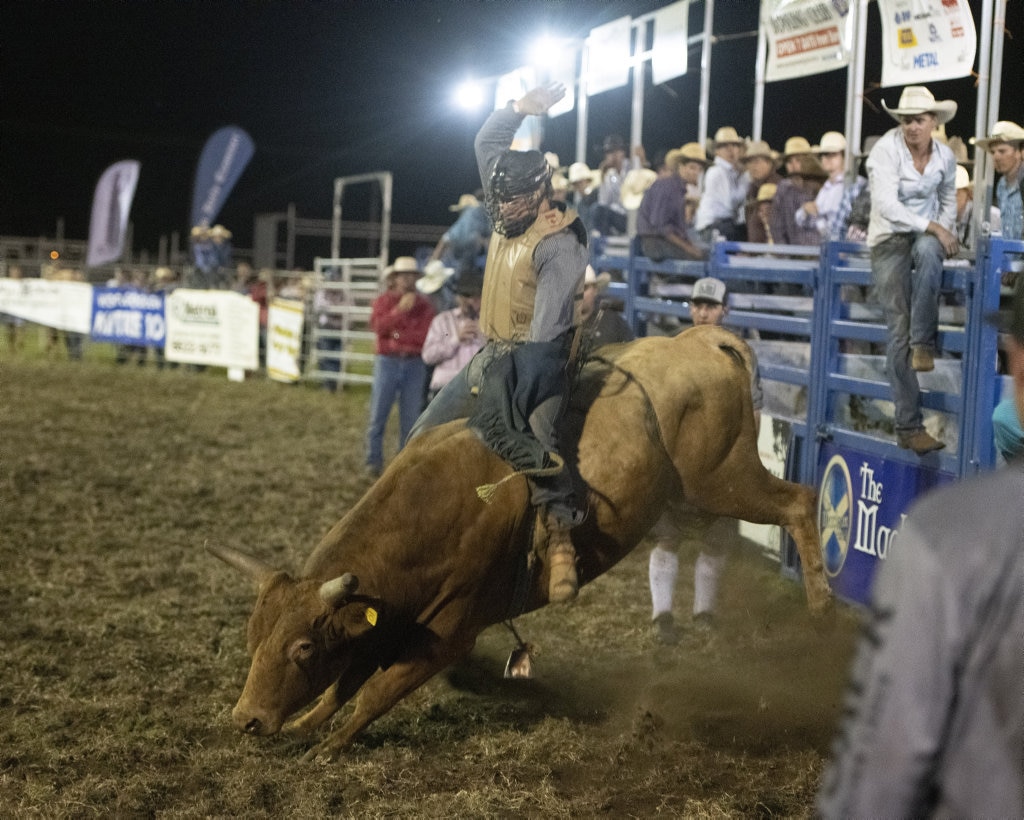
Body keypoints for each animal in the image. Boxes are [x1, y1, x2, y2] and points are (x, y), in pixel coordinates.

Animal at [209, 325, 831, 761]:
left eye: (302, 647)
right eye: (252, 636)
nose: (247, 719)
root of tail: (694, 340)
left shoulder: (448, 632)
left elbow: (375, 692)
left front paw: (328, 746)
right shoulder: (388, 619)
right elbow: (347, 682)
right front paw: (305, 725)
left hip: (722, 478)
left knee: (800, 501)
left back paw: (821, 607)